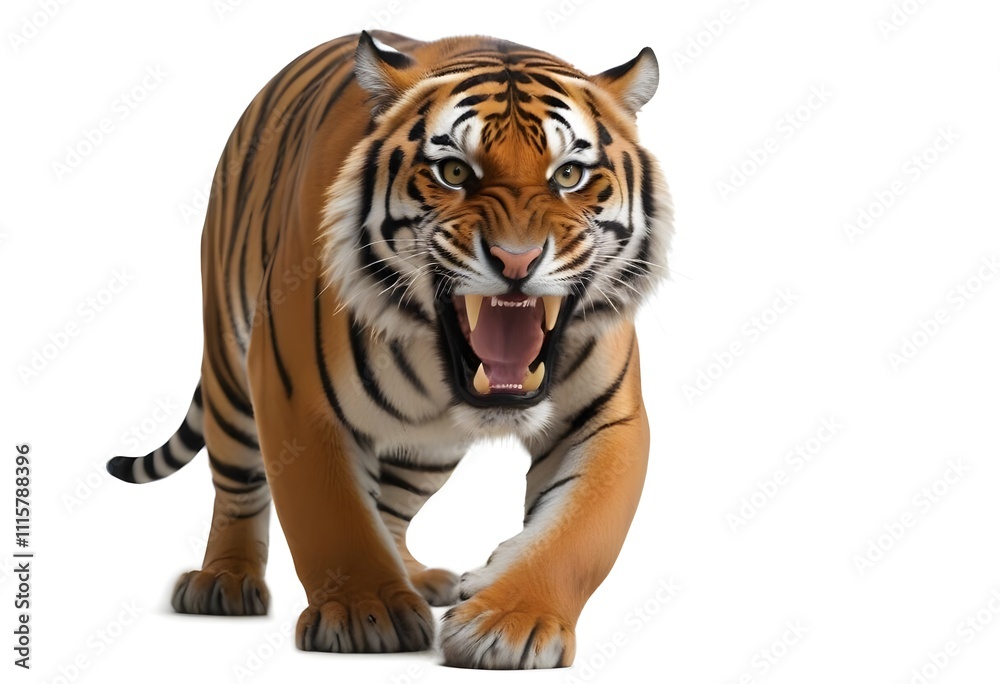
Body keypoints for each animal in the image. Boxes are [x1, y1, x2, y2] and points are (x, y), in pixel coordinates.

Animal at [106, 30, 672, 669]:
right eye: (453, 171)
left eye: (570, 174)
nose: (518, 260)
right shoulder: (294, 396)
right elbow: (332, 516)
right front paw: (364, 614)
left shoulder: (606, 419)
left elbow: (577, 532)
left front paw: (508, 622)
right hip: (230, 368)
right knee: (238, 488)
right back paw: (223, 582)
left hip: (428, 449)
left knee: (394, 506)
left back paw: (416, 577)